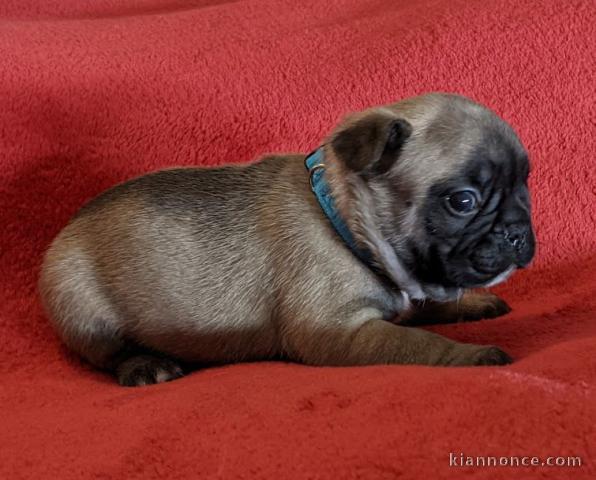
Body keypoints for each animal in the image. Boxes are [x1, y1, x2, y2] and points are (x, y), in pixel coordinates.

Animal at [40, 93, 536, 386]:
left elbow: (425, 306)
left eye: (524, 185)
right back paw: (146, 365)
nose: (517, 231)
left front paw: (472, 303)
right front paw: (473, 355)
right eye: (463, 201)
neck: (347, 225)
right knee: (108, 353)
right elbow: (414, 344)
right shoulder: (339, 332)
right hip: (80, 304)